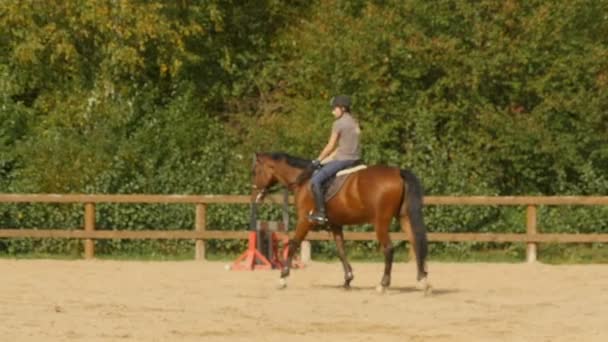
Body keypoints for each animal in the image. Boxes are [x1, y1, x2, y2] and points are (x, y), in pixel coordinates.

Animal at [254, 152, 430, 294]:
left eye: (256, 171)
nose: (256, 195)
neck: (304, 181)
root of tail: (398, 172)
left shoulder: (304, 221)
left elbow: (293, 244)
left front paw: (282, 278)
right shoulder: (335, 225)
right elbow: (341, 250)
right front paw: (348, 279)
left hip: (380, 221)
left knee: (388, 248)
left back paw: (383, 284)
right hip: (404, 217)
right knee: (415, 242)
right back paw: (422, 280)